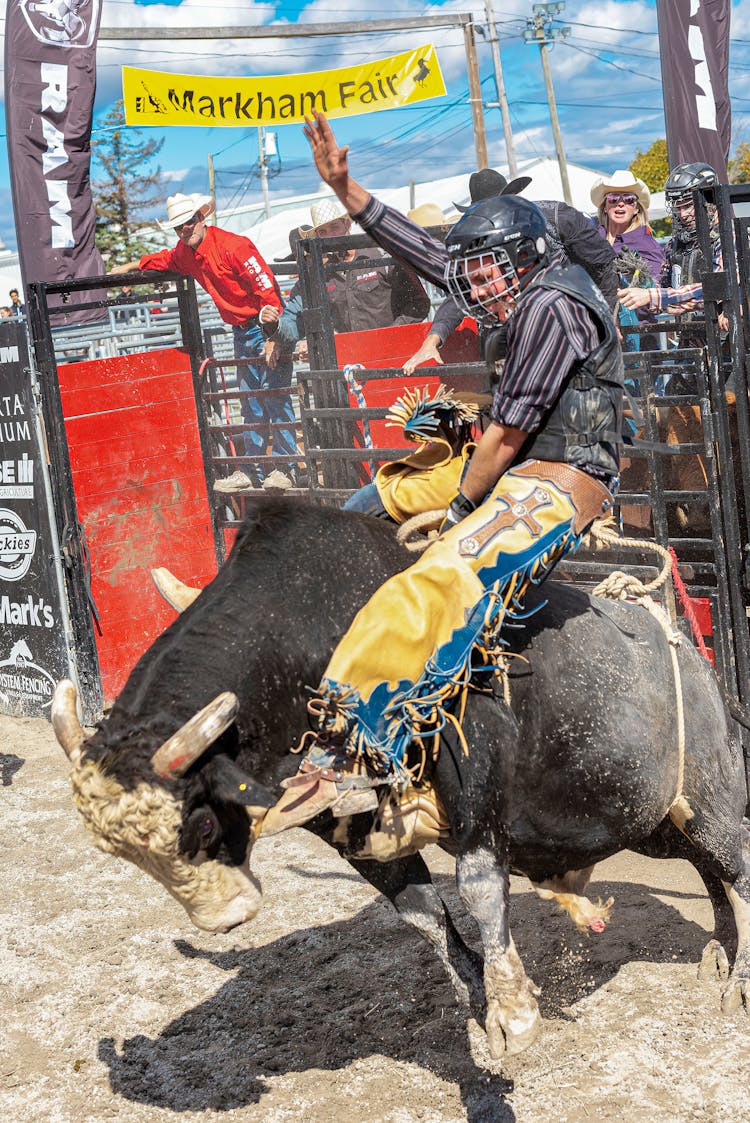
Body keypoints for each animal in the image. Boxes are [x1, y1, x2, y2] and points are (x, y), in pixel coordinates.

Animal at [55, 496, 745, 1055]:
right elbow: (421, 912)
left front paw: (515, 1016)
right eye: (127, 855)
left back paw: (736, 979)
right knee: (709, 870)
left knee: (734, 863)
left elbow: (477, 888)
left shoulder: (478, 790)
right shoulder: (355, 835)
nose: (222, 918)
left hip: (704, 800)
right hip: (652, 821)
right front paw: (479, 1003)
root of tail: (686, 648)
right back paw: (720, 951)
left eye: (198, 823)